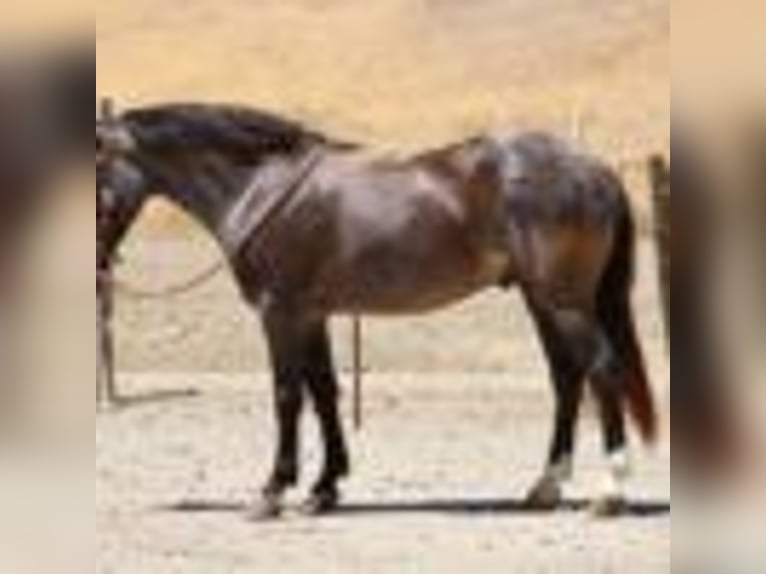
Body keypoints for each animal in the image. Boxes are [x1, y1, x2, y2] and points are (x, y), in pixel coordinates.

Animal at [96, 102, 657, 518]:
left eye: (96, 169)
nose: (98, 262)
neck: (262, 187)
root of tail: (595, 168)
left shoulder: (280, 313)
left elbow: (287, 396)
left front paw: (273, 492)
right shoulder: (311, 315)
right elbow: (324, 393)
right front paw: (324, 489)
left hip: (565, 302)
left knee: (602, 370)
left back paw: (611, 492)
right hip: (542, 300)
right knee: (567, 378)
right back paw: (545, 487)